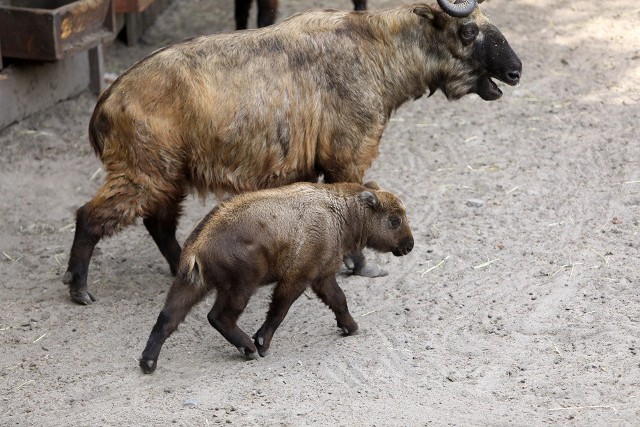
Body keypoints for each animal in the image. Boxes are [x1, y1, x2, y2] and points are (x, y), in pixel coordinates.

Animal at [62, 1, 520, 306]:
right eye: (468, 32)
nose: (515, 71)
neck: (374, 51)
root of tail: (106, 100)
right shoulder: (346, 158)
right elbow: (357, 209)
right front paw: (362, 266)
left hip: (167, 177)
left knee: (158, 225)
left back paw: (178, 270)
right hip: (143, 175)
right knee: (91, 216)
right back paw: (79, 287)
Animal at [138, 182, 412, 372]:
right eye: (394, 220)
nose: (409, 245)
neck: (340, 212)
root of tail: (197, 247)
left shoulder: (322, 276)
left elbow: (339, 300)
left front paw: (351, 327)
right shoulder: (298, 276)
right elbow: (280, 309)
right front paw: (261, 343)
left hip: (191, 286)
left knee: (167, 318)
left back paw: (147, 362)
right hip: (241, 286)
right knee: (218, 316)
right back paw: (248, 348)